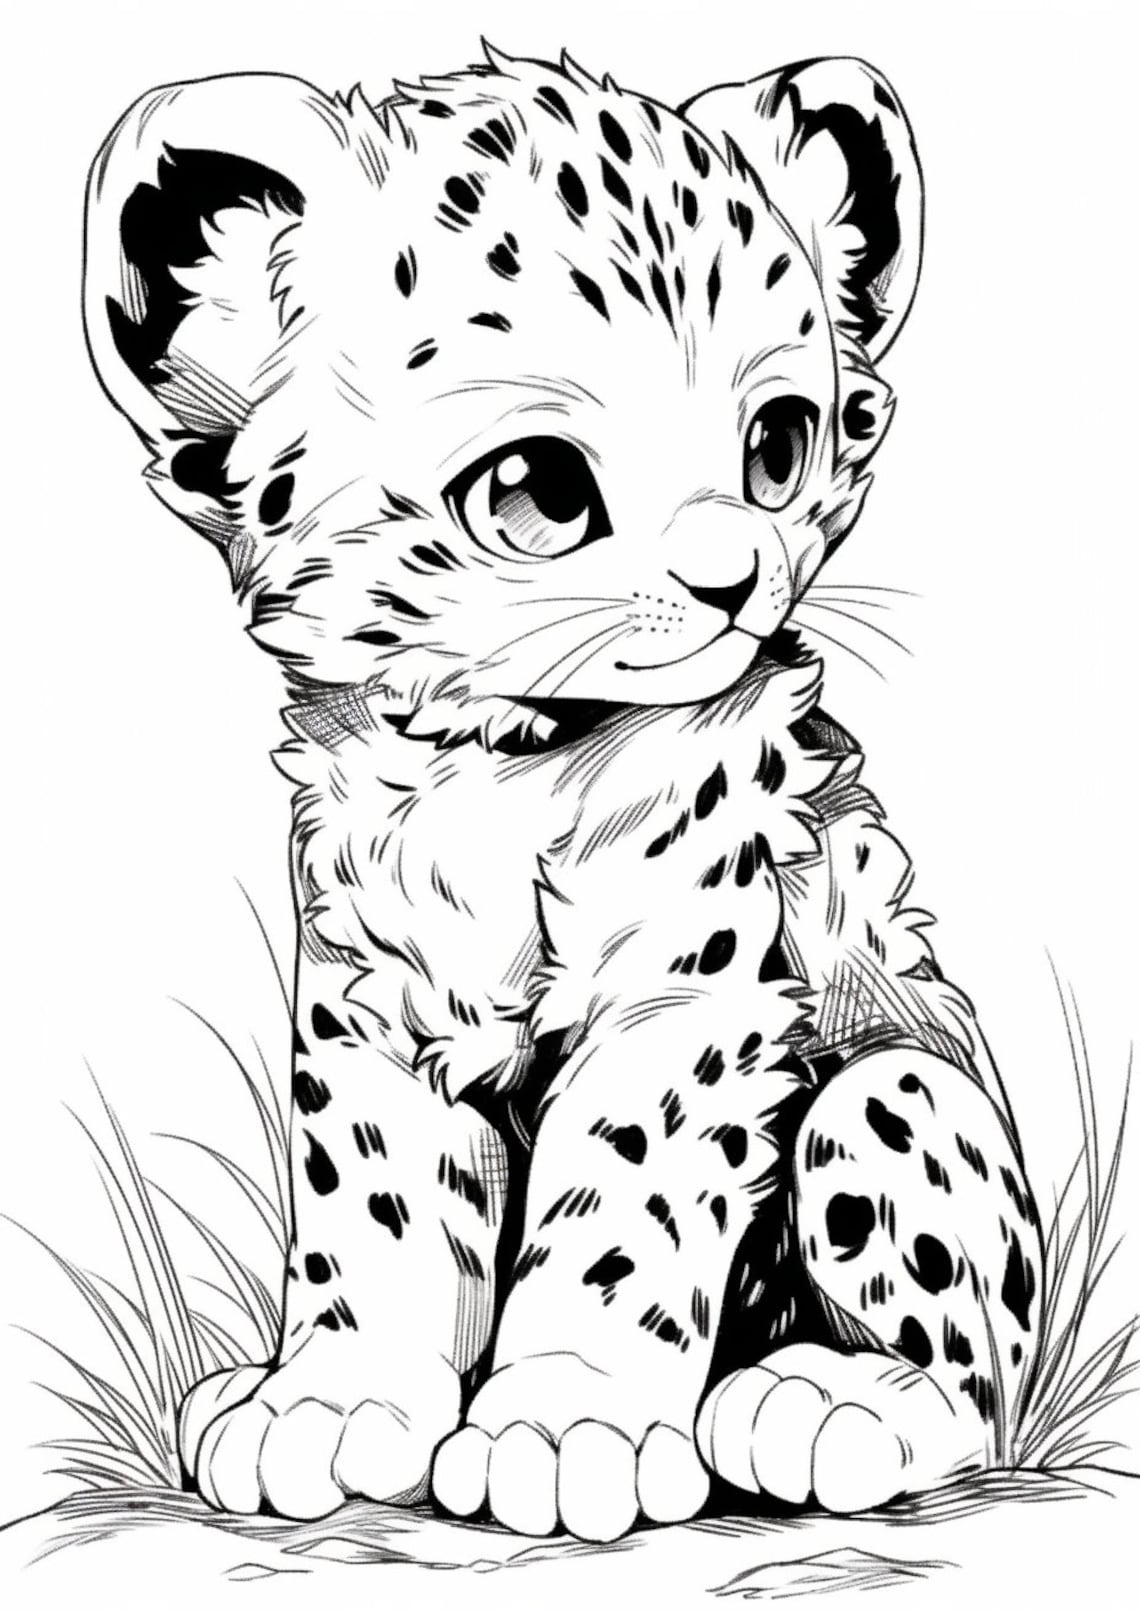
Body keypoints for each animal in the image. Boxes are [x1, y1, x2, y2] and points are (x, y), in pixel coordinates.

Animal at [82, 43, 1044, 1542]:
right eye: (539, 490)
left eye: (779, 444)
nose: (733, 574)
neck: (500, 774)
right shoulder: (370, 990)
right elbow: (373, 1194)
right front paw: (335, 1401)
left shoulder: (689, 987)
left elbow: (622, 1198)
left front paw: (567, 1420)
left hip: (895, 1097)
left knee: (973, 1371)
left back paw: (830, 1402)